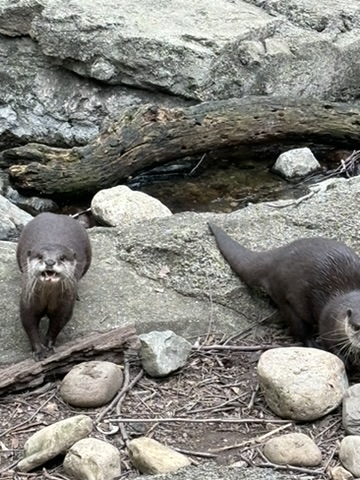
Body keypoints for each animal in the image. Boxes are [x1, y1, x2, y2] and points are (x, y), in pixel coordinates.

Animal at [17, 212, 92, 358]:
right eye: (40, 256)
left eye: (62, 258)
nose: (50, 262)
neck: (48, 297)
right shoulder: (28, 300)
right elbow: (29, 324)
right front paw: (39, 351)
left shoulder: (64, 305)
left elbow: (57, 324)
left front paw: (49, 345)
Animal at [208, 223, 360, 362]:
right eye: (356, 327)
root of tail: (277, 256)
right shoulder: (328, 322)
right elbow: (330, 344)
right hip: (285, 297)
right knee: (300, 329)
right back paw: (313, 344)